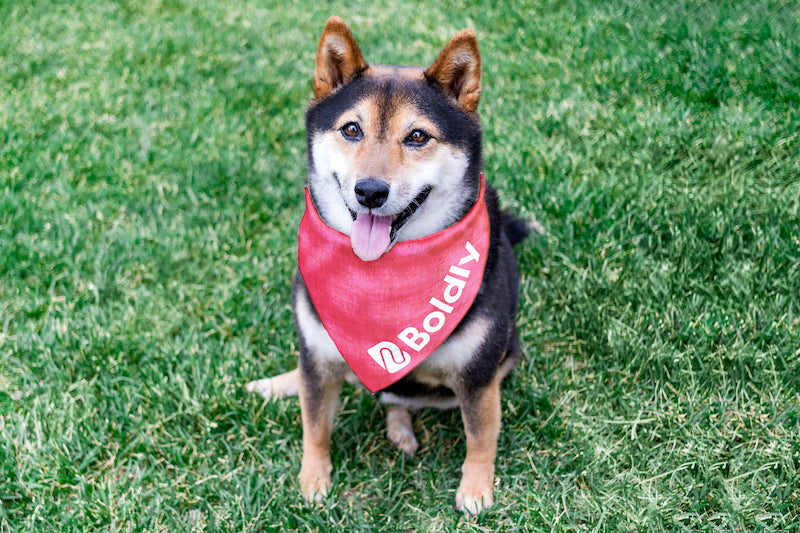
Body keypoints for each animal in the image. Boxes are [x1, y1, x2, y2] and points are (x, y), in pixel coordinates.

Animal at [247, 16, 536, 512]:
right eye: (351, 130)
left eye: (418, 136)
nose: (370, 191)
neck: (383, 273)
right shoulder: (318, 355)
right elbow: (314, 423)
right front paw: (313, 479)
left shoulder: (479, 375)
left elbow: (481, 437)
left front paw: (476, 490)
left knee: (402, 399)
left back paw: (400, 429)